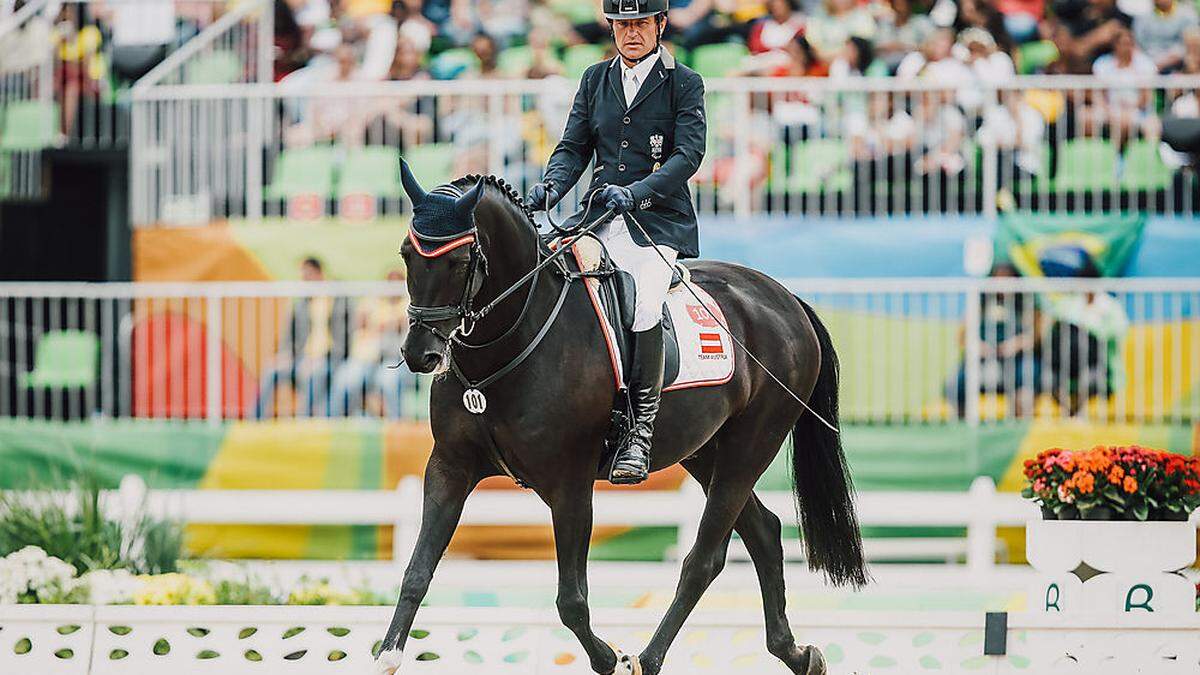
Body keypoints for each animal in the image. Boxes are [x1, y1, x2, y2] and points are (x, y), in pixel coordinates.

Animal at [374, 171, 864, 672]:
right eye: (407, 253)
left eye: (459, 261)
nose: (419, 354)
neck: (513, 336)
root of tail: (785, 298)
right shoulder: (449, 468)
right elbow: (416, 571)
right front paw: (387, 657)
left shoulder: (569, 484)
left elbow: (571, 600)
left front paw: (609, 658)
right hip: (705, 453)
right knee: (764, 532)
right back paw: (796, 654)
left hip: (750, 447)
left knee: (703, 560)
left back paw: (647, 658)